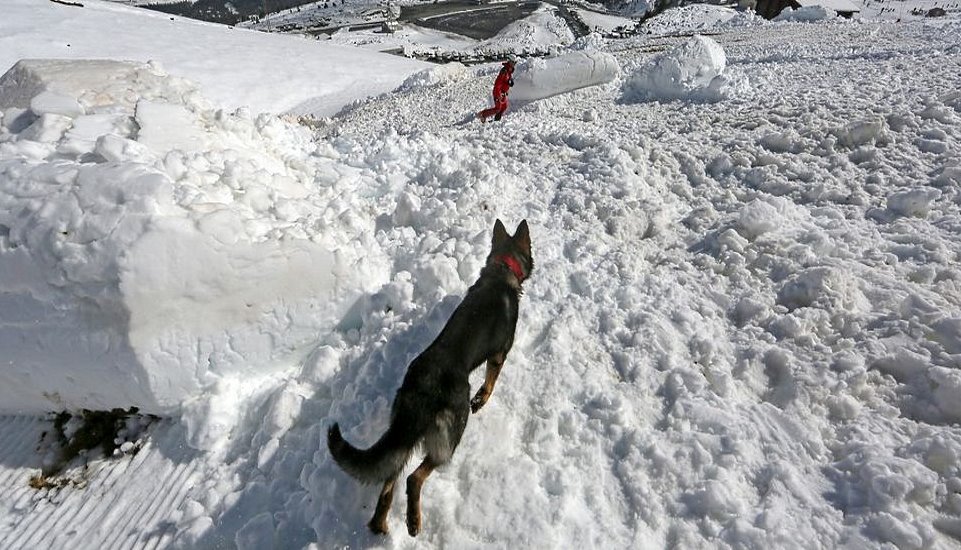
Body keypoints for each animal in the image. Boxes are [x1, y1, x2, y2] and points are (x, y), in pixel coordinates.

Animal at [326, 220, 528, 540]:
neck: (502, 269)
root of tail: (422, 391)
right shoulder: (499, 355)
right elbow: (490, 384)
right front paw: (482, 399)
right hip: (449, 439)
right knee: (414, 477)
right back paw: (412, 520)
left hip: (402, 434)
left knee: (389, 482)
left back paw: (381, 525)